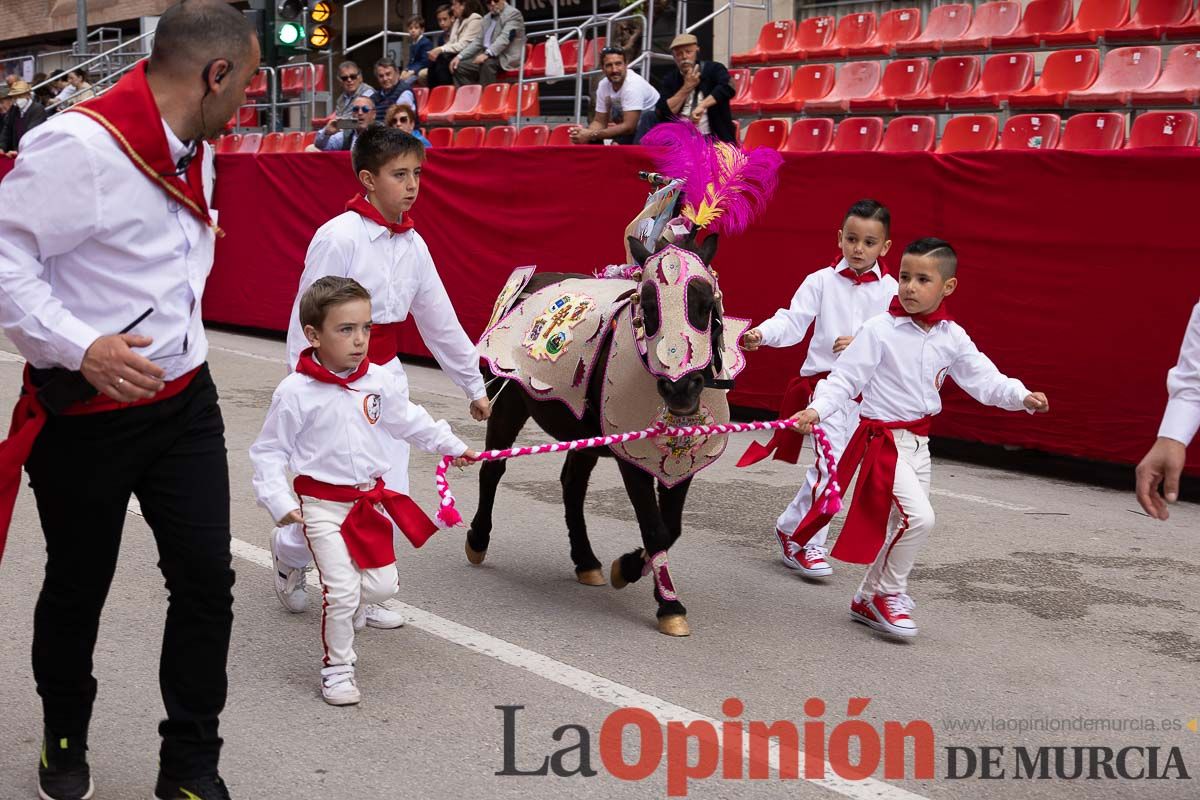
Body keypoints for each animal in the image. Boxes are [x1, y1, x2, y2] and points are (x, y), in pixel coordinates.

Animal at [463, 126, 782, 638]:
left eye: (706, 303)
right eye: (647, 306)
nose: (681, 390)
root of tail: (531, 282)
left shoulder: (680, 455)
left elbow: (670, 527)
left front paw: (628, 570)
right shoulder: (633, 451)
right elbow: (655, 526)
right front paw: (667, 604)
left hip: (583, 431)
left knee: (571, 483)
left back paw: (587, 560)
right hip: (510, 402)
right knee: (494, 468)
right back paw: (477, 538)